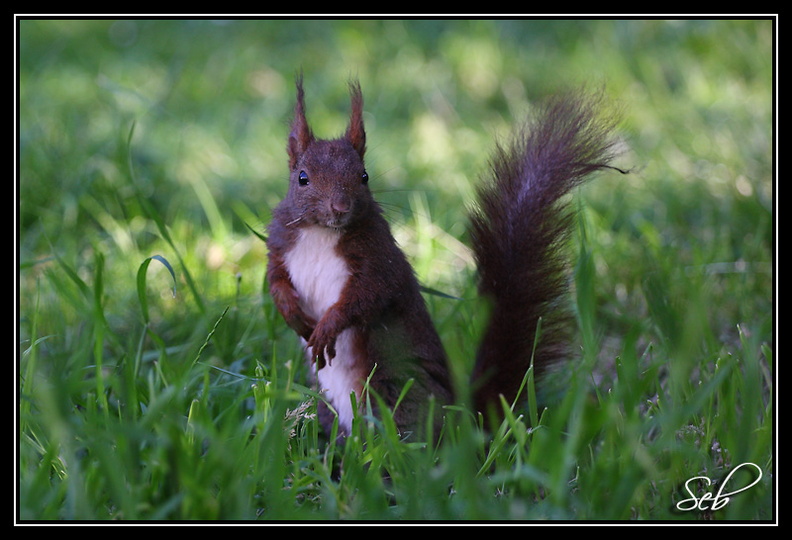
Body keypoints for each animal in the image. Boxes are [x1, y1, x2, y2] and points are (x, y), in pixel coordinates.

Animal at [268, 77, 624, 438]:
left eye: (364, 176)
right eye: (302, 177)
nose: (340, 207)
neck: (321, 233)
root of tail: (468, 424)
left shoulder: (378, 259)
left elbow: (367, 296)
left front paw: (328, 326)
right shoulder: (280, 247)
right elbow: (276, 281)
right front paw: (291, 313)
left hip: (396, 391)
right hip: (329, 407)